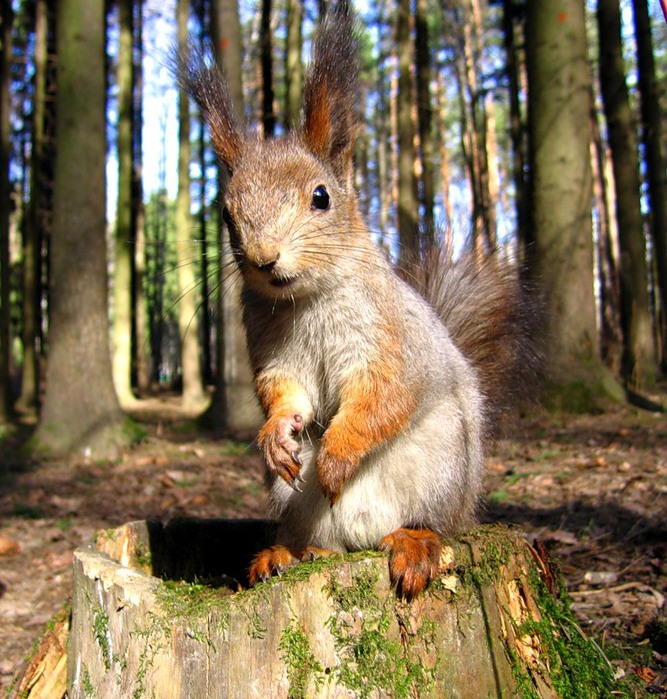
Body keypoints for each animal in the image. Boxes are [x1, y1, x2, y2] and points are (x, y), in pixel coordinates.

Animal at [180, 0, 540, 600]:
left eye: (321, 197)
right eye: (227, 214)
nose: (264, 257)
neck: (308, 300)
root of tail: (367, 535)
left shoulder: (391, 339)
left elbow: (383, 397)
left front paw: (337, 455)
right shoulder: (274, 349)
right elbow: (284, 394)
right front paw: (276, 434)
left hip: (441, 467)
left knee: (428, 522)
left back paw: (414, 542)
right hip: (293, 501)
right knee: (321, 541)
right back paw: (286, 553)